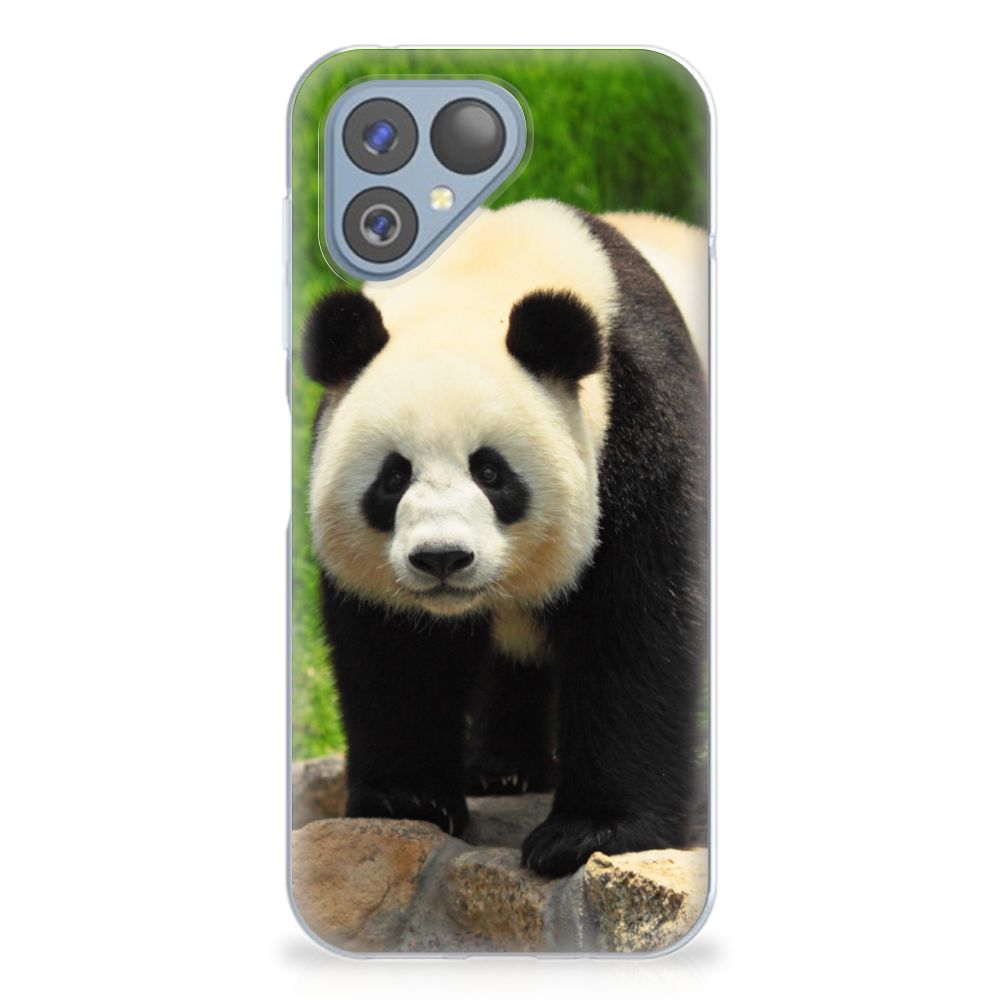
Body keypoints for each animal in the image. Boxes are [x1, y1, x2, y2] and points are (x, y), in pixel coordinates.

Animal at [303, 199, 708, 877]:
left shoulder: (641, 420)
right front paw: (408, 799)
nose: (442, 558)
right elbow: (395, 649)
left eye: (490, 472)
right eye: (393, 476)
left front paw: (589, 833)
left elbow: (636, 624)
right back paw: (504, 769)